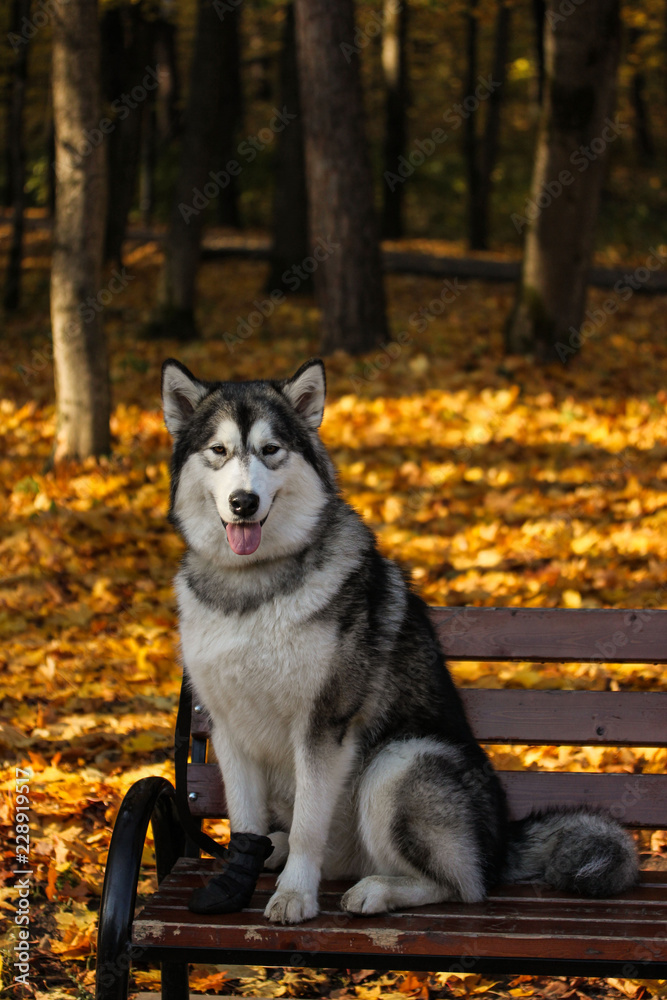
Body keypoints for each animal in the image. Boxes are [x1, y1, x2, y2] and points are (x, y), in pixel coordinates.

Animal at [161, 357, 638, 925]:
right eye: (219, 451)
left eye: (270, 450)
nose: (243, 502)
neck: (252, 588)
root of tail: (501, 841)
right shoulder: (229, 728)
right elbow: (244, 824)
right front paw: (238, 880)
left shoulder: (323, 724)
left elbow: (306, 828)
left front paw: (295, 894)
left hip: (397, 763)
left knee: (464, 884)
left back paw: (378, 890)